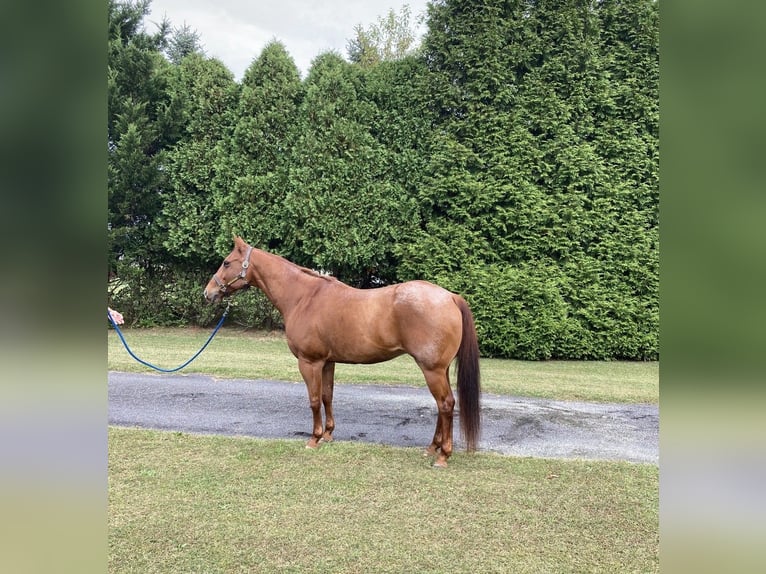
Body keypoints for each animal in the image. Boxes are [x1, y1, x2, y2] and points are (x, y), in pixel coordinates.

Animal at [203, 236, 481, 467]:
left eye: (226, 262)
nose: (208, 293)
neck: (304, 297)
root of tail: (450, 297)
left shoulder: (309, 362)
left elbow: (314, 399)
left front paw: (314, 438)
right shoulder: (327, 362)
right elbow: (328, 396)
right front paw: (328, 434)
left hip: (432, 369)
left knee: (445, 404)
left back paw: (443, 456)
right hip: (439, 369)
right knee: (442, 406)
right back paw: (432, 448)